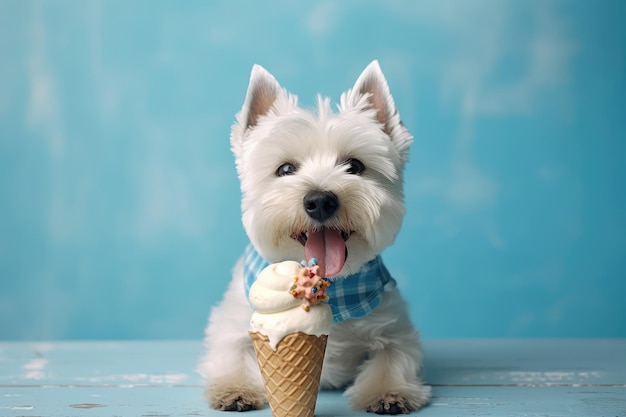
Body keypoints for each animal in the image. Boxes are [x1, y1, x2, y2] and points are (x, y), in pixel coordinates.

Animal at [200, 59, 428, 412]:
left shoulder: (395, 327)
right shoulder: (231, 324)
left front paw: (389, 393)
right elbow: (232, 352)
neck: (330, 285)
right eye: (285, 169)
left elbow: (392, 357)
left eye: (355, 166)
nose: (320, 200)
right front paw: (234, 389)